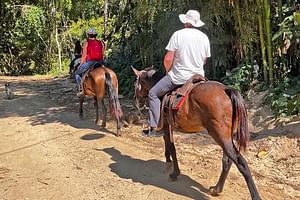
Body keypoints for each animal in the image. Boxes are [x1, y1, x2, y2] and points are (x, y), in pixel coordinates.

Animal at [131, 67, 260, 200]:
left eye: (135, 84)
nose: (137, 101)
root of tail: (227, 90)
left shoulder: (167, 126)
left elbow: (172, 148)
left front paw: (174, 173)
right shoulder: (168, 127)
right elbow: (167, 144)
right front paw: (168, 162)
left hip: (220, 136)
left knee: (240, 163)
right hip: (226, 138)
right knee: (227, 161)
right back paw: (217, 189)